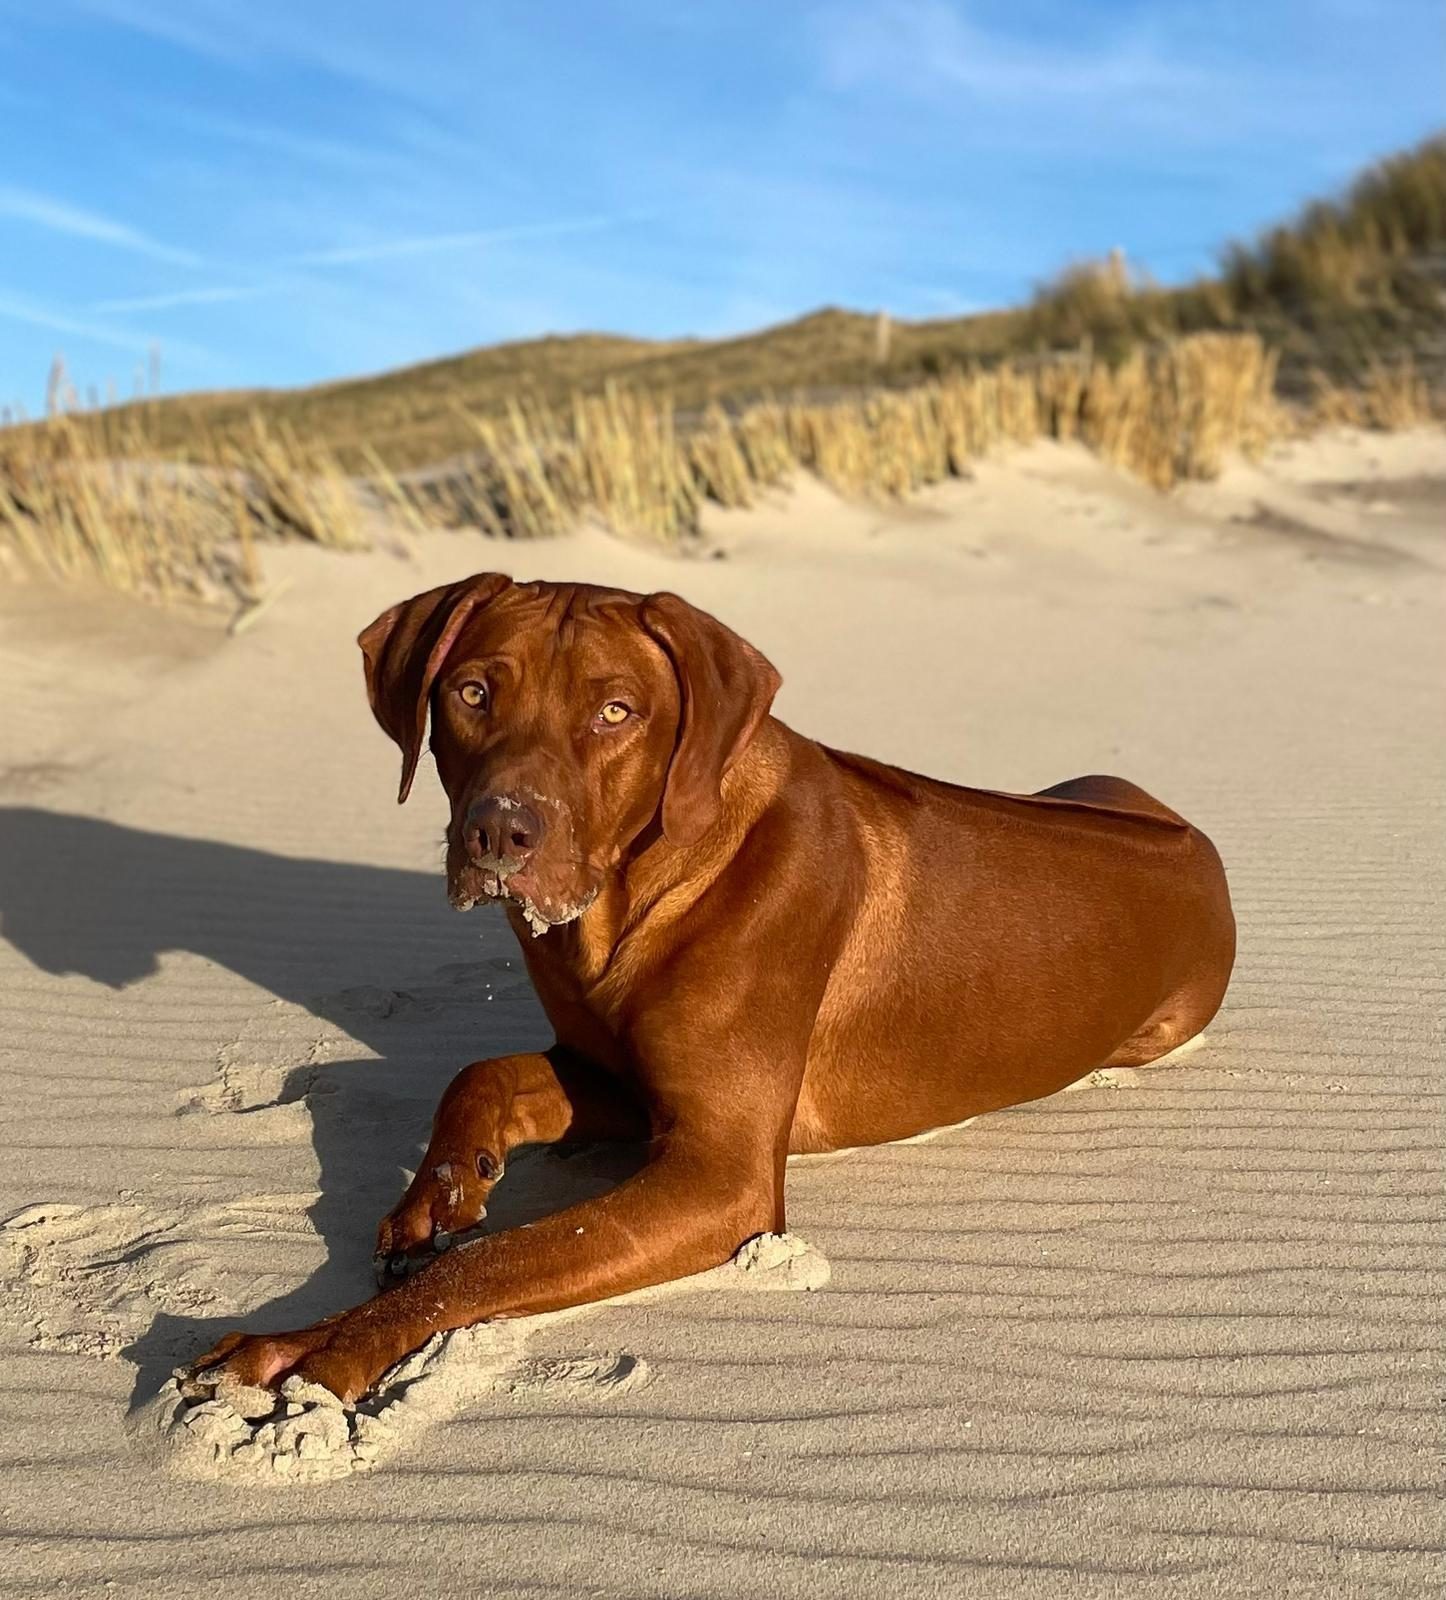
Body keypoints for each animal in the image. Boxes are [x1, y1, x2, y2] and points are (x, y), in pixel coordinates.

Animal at [189, 576, 1228, 1401]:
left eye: (616, 712)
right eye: (471, 692)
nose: (499, 834)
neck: (642, 892)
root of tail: (1203, 847)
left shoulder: (718, 1174)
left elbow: (495, 1258)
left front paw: (316, 1345)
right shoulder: (611, 1077)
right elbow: (481, 1075)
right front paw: (436, 1198)